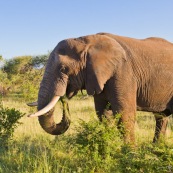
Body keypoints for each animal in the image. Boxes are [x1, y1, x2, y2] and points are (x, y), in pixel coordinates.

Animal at [28, 32, 173, 143]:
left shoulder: (123, 72)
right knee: (161, 117)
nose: (64, 101)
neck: (86, 41)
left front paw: (129, 154)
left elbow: (124, 114)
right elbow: (103, 114)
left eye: (63, 69)